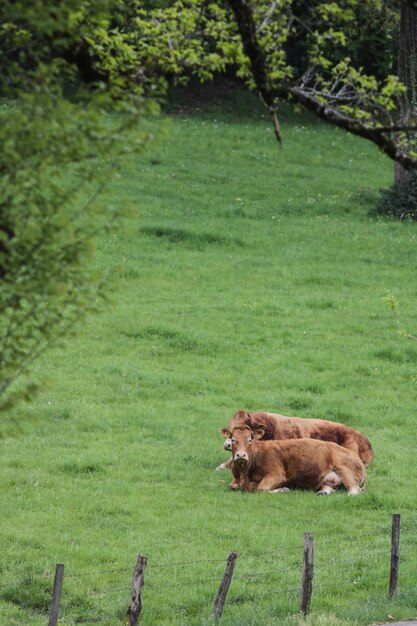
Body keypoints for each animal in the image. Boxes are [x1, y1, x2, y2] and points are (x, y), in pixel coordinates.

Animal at [228, 422, 364, 494]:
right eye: (233, 440)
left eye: (250, 440)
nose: (241, 455)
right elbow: (233, 486)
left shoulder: (276, 474)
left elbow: (261, 489)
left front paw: (283, 489)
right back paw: (322, 492)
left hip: (345, 470)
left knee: (354, 490)